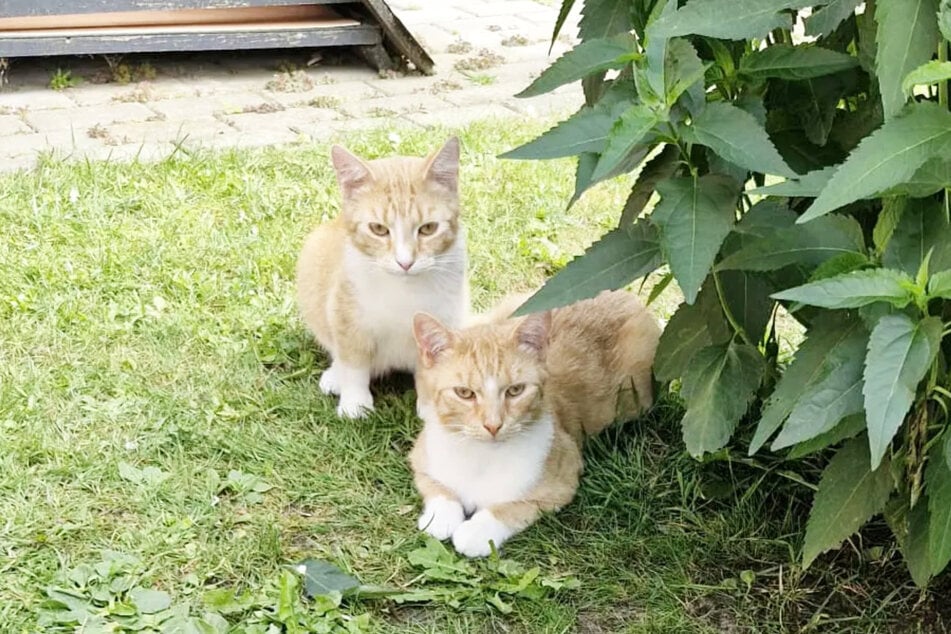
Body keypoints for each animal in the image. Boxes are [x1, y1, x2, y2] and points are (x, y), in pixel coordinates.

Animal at [294, 137, 464, 414]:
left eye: (428, 228)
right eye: (378, 229)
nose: (405, 262)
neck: (403, 289)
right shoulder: (348, 317)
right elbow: (353, 363)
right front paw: (354, 404)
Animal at [406, 288, 660, 556]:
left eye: (515, 390)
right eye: (464, 393)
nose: (493, 425)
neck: (481, 457)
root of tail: (622, 292)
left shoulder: (561, 483)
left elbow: (512, 508)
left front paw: (477, 531)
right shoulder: (421, 458)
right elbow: (438, 489)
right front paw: (440, 518)